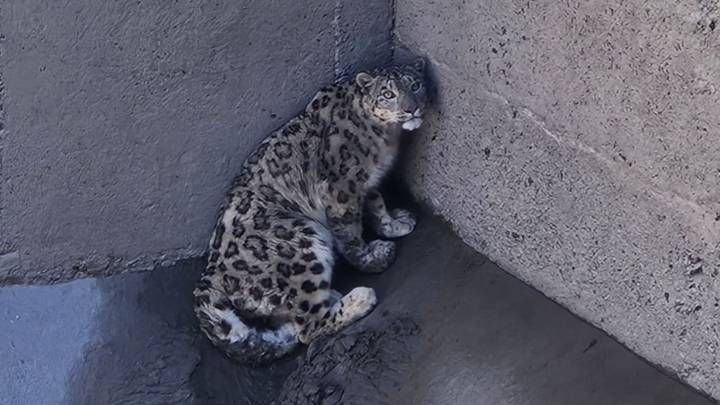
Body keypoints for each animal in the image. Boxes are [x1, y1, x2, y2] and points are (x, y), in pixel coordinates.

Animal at [193, 58, 429, 364]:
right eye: (388, 94)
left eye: (415, 84)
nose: (411, 108)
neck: (385, 139)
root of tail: (211, 275)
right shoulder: (341, 188)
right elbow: (350, 233)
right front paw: (370, 257)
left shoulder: (365, 183)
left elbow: (377, 204)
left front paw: (396, 223)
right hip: (301, 243)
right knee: (308, 325)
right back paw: (359, 298)